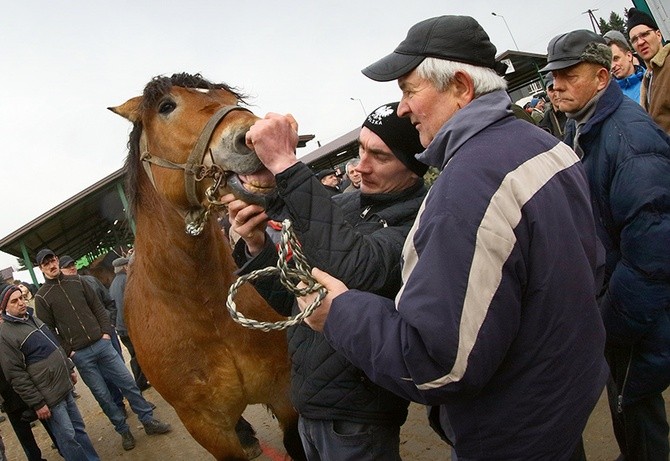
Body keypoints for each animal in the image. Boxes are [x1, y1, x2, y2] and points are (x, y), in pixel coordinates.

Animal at [111, 73, 304, 458]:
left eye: (231, 98)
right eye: (166, 106)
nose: (259, 133)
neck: (201, 302)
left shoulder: (284, 390)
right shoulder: (205, 425)